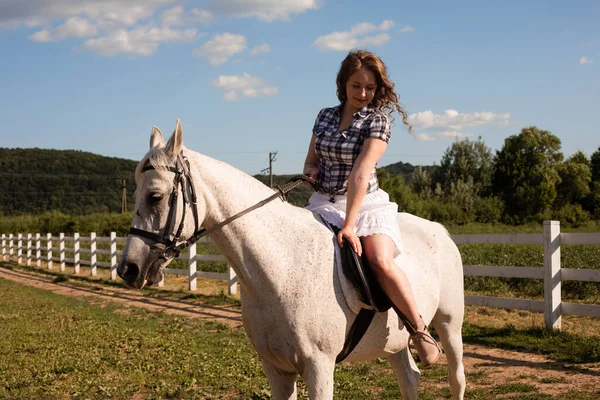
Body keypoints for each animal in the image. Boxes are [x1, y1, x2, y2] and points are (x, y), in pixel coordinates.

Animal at [116, 120, 464, 398]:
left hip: (449, 324)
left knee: (456, 378)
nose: (128, 269)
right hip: (393, 341)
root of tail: (440, 231)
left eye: (156, 196)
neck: (280, 266)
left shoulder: (319, 367)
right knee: (409, 378)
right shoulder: (276, 368)